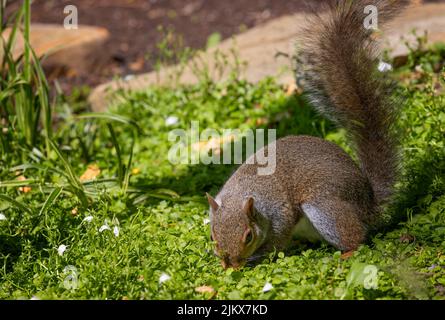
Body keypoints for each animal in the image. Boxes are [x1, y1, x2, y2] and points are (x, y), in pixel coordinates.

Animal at [206, 0, 408, 268]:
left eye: (248, 236)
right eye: (213, 236)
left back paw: (345, 254)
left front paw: (258, 259)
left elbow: (277, 240)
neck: (248, 194)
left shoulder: (280, 214)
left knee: (357, 237)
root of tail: (368, 204)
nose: (232, 265)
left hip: (324, 207)